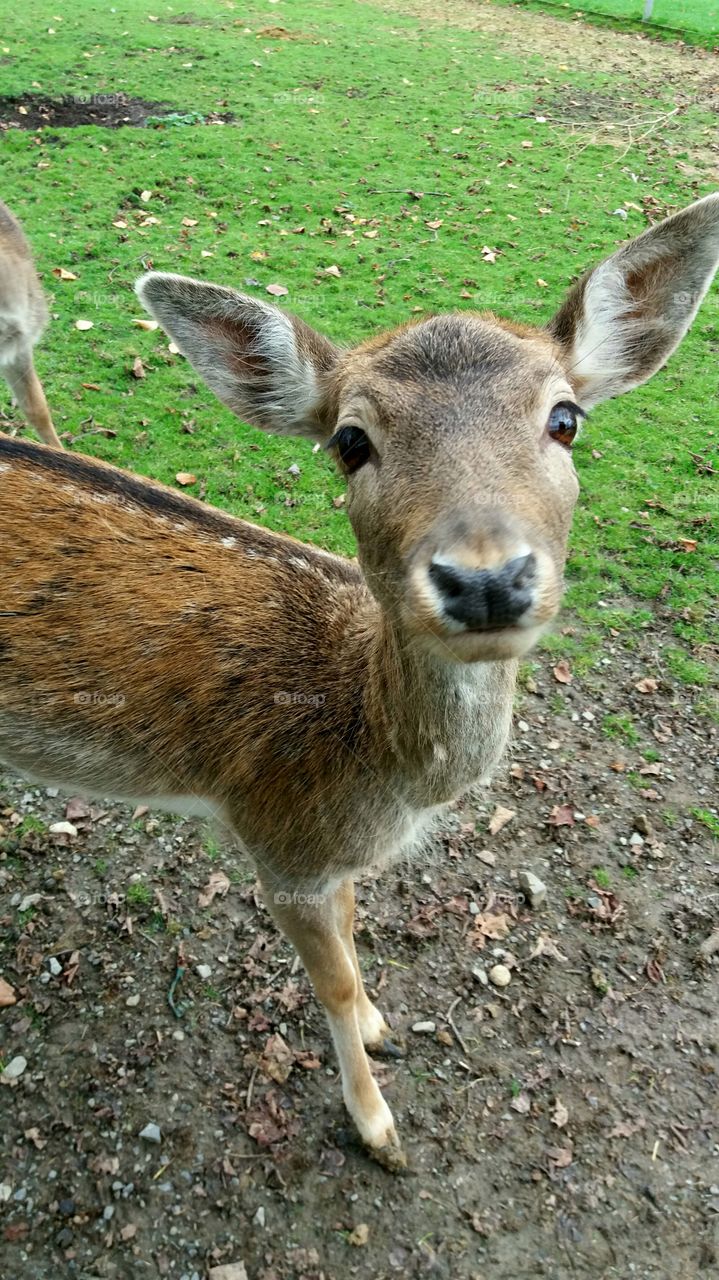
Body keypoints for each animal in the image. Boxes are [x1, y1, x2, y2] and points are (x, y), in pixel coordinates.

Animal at [0, 192, 711, 1172]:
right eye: (349, 440)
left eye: (566, 418)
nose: (485, 579)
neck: (369, 773)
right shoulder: (279, 846)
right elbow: (327, 981)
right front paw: (377, 1127)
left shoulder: (325, 858)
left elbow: (350, 929)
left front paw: (380, 1024)